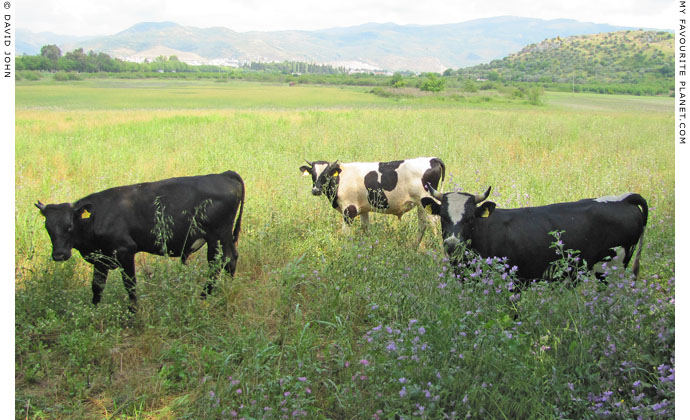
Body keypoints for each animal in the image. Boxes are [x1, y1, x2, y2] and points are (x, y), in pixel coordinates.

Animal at [35, 169, 245, 310]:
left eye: (69, 225)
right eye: (48, 228)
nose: (59, 255)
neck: (96, 217)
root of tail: (224, 174)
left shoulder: (125, 251)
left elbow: (130, 285)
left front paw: (133, 312)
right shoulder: (101, 259)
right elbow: (97, 287)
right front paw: (93, 310)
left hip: (217, 237)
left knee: (219, 263)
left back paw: (203, 297)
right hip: (224, 237)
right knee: (231, 259)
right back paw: (229, 286)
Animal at [298, 157, 444, 243]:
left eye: (327, 174)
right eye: (313, 174)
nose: (315, 190)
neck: (340, 179)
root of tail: (433, 159)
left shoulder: (349, 209)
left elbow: (346, 234)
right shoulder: (363, 209)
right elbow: (365, 227)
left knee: (433, 223)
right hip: (421, 204)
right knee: (423, 224)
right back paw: (414, 246)